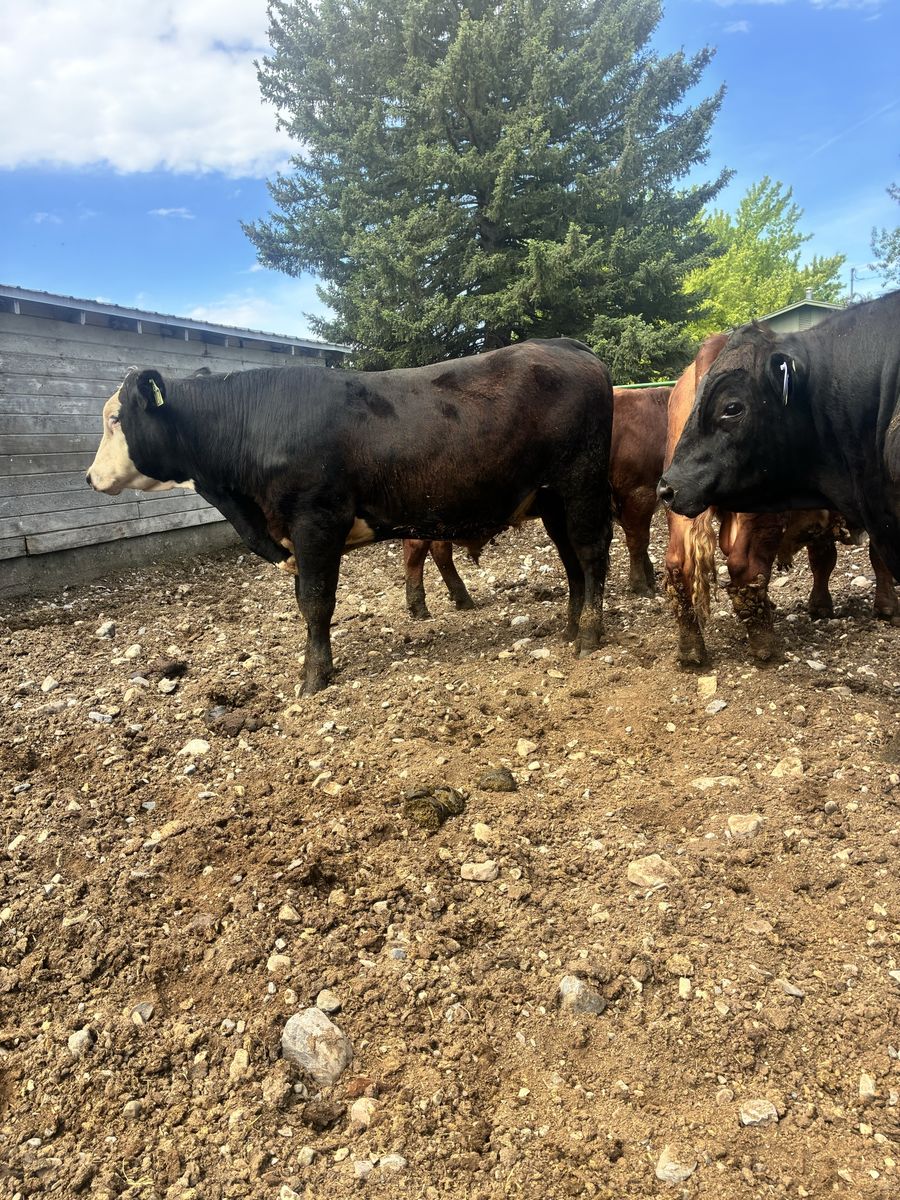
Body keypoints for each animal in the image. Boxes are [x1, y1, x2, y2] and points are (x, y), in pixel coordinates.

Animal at [86, 339, 614, 694]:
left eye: (115, 418)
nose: (90, 477)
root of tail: (566, 346)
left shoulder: (316, 520)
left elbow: (316, 602)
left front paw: (315, 677)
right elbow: (305, 600)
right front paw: (311, 667)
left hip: (582, 484)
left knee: (590, 554)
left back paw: (589, 635)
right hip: (552, 499)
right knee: (571, 561)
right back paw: (571, 627)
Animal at [398, 384, 670, 616]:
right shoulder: (638, 493)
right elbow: (638, 541)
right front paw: (641, 585)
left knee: (439, 550)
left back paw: (461, 597)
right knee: (416, 549)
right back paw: (418, 605)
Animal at [663, 332, 898, 666]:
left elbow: (822, 559)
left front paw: (820, 606)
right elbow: (877, 558)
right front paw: (888, 607)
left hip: (679, 500)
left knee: (678, 564)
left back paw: (690, 646)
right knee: (746, 568)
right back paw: (765, 644)